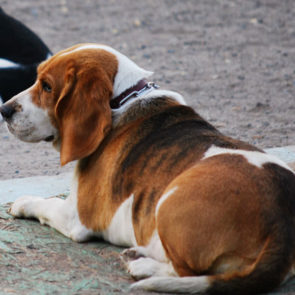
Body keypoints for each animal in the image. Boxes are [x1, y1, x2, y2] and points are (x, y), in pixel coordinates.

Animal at [0, 44, 295, 295]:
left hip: (169, 200)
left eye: (47, 86)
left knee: (185, 272)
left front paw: (22, 203)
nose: (4, 109)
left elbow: (45, 202)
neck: (121, 101)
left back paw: (142, 265)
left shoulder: (75, 217)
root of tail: (282, 225)